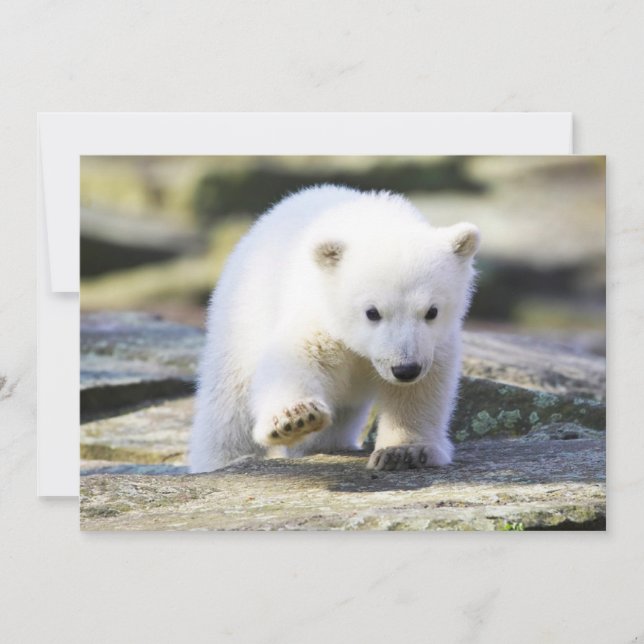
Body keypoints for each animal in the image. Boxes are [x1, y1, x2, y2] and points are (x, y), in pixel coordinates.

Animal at [189, 185, 480, 473]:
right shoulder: (320, 312)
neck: (374, 221)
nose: (405, 369)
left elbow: (420, 390)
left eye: (432, 311)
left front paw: (404, 451)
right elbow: (297, 356)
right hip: (241, 317)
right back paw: (224, 459)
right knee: (228, 406)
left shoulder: (434, 343)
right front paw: (296, 418)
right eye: (372, 312)